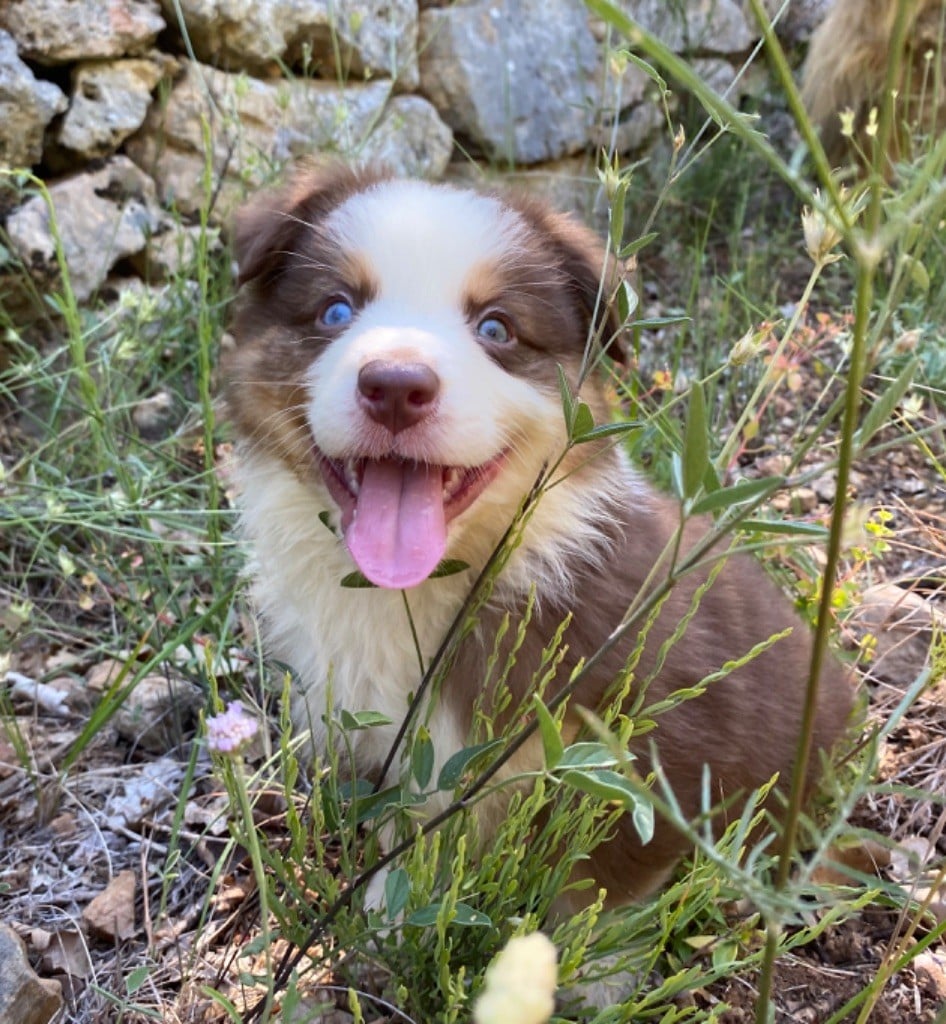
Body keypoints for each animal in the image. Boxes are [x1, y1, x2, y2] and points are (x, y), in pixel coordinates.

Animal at [225, 163, 851, 909]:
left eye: (496, 327)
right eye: (335, 312)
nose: (397, 386)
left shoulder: (663, 738)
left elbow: (598, 884)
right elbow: (404, 837)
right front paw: (381, 910)